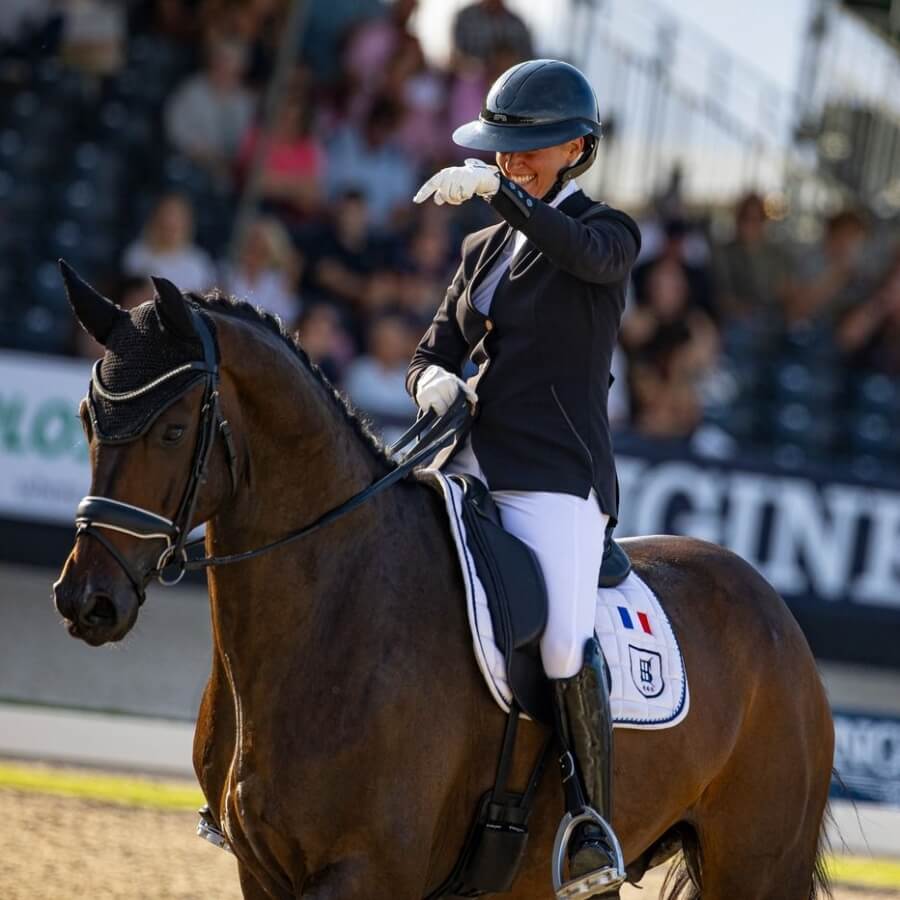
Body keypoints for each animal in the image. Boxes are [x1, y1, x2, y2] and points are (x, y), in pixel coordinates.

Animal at [53, 267, 834, 900]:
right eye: (89, 418)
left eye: (172, 430)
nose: (86, 601)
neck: (332, 609)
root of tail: (774, 611)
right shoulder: (261, 871)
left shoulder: (367, 872)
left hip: (758, 866)